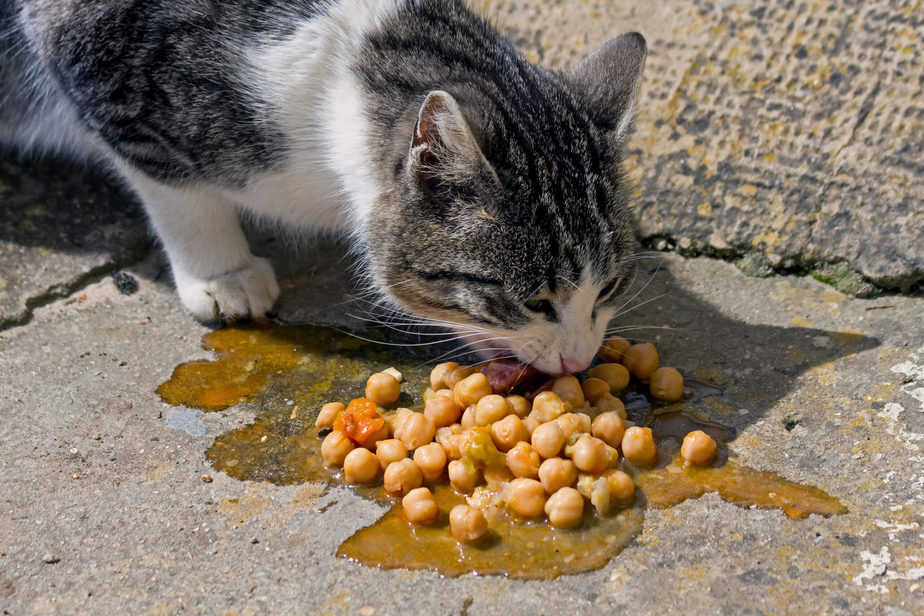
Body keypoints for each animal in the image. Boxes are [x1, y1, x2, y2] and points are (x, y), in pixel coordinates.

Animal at [0, 0, 648, 372]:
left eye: (611, 285)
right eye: (535, 302)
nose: (580, 361)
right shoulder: (96, 62)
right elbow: (175, 189)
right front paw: (221, 273)